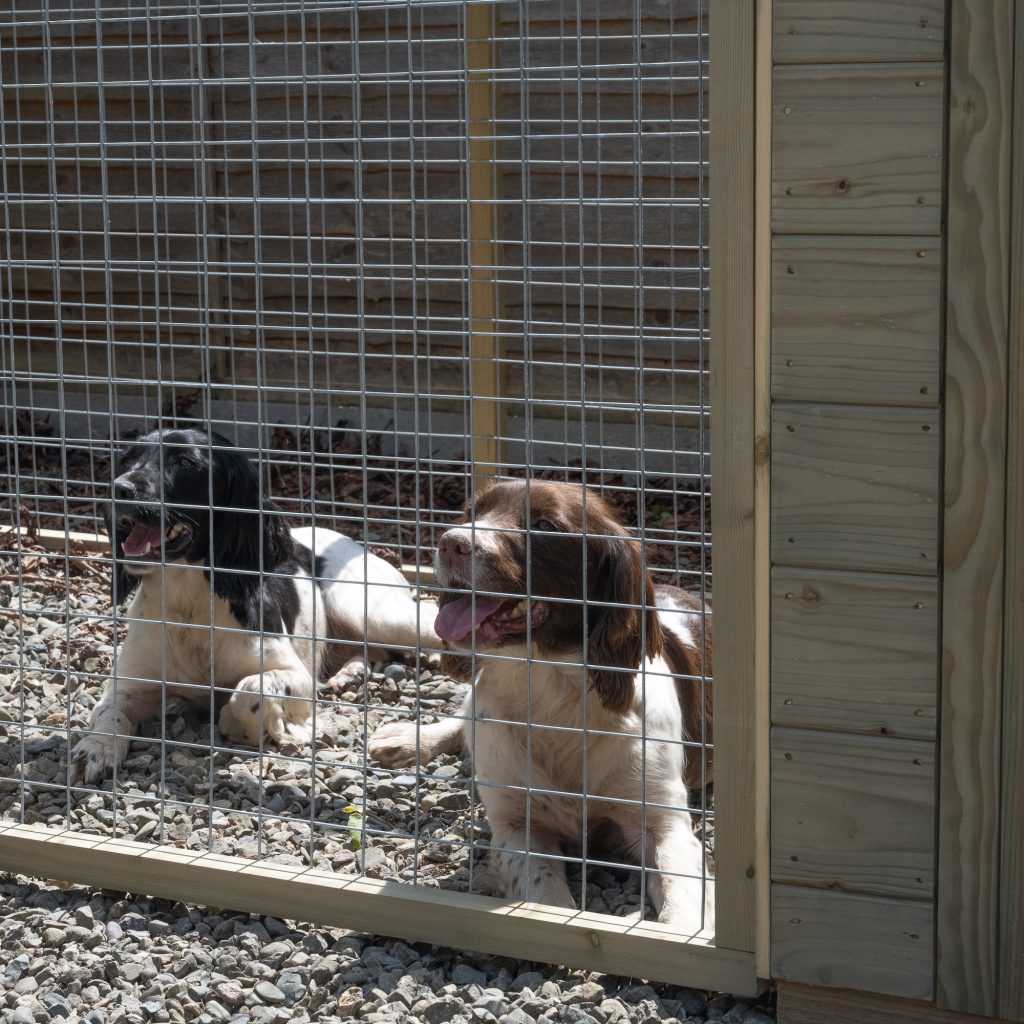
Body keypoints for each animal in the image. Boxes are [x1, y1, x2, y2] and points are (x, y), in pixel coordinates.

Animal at [70, 428, 438, 786]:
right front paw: (94, 749)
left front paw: (246, 727)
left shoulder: (298, 679)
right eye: (126, 461)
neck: (189, 605)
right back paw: (351, 672)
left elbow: (251, 690)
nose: (120, 488)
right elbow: (110, 714)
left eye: (185, 462)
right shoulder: (128, 684)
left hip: (371, 613)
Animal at [368, 477, 712, 929]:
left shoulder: (662, 821)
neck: (549, 690)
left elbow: (681, 899)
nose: (450, 543)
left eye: (546, 525)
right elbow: (544, 894)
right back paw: (405, 740)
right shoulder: (518, 823)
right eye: (473, 512)